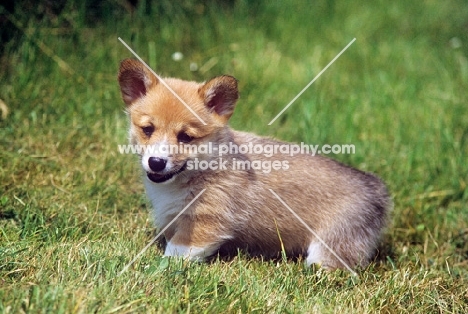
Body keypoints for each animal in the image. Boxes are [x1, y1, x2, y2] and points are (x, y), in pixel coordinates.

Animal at [118, 59, 392, 270]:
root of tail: (377, 188)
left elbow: (175, 252)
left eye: (185, 137)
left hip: (331, 246)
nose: (156, 162)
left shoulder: (206, 222)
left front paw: (158, 270)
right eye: (147, 130)